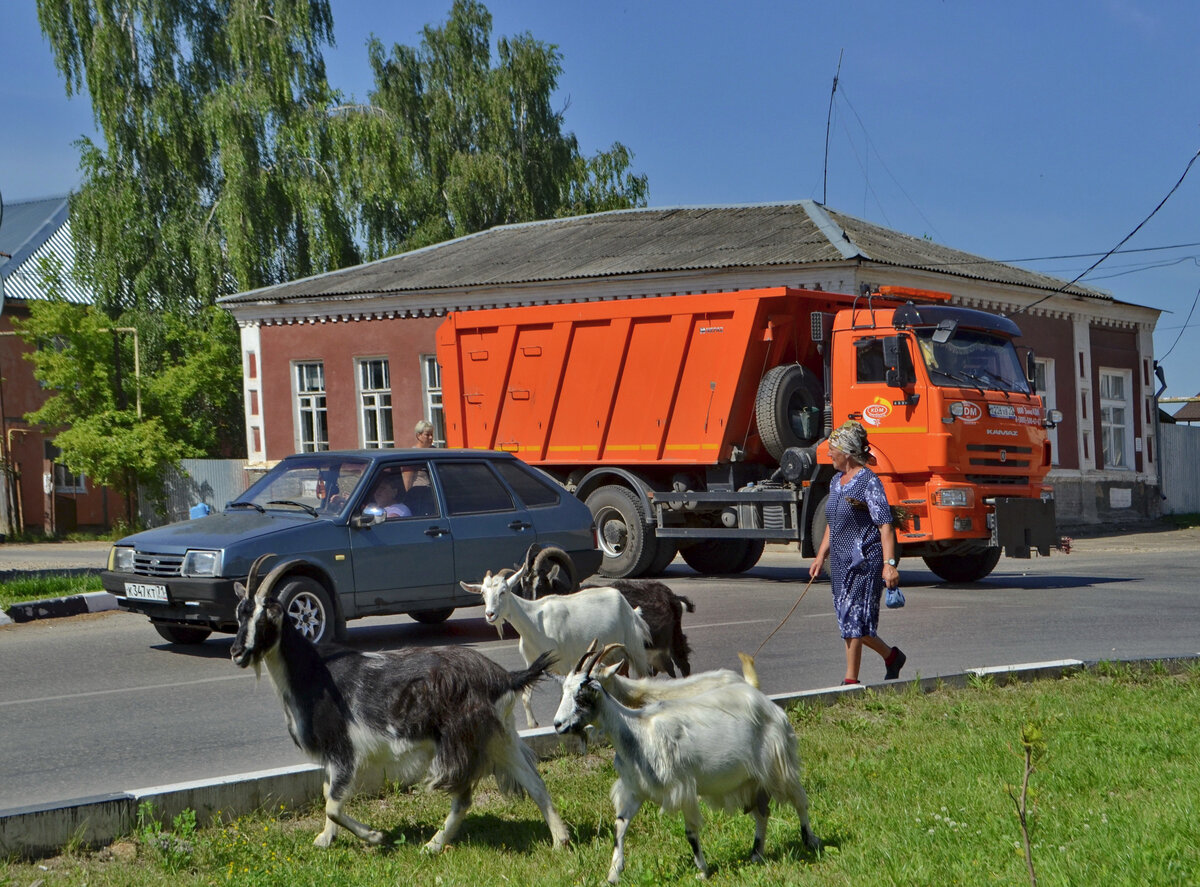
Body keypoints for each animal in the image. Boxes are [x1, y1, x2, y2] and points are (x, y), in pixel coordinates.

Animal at [460, 561, 652, 729]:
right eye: (483, 593)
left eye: (503, 591)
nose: (490, 614)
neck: (534, 622)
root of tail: (629, 607)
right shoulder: (533, 662)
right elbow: (526, 696)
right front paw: (532, 724)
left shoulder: (566, 663)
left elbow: (564, 693)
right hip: (614, 653)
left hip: (635, 648)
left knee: (642, 674)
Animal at [549, 643, 816, 883]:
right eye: (563, 692)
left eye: (582, 695)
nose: (558, 725)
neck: (637, 732)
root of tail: (766, 702)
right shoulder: (635, 789)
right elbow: (619, 827)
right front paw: (613, 874)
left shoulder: (682, 787)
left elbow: (690, 832)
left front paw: (703, 871)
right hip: (750, 779)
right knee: (762, 813)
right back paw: (756, 854)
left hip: (778, 762)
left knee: (799, 799)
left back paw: (811, 841)